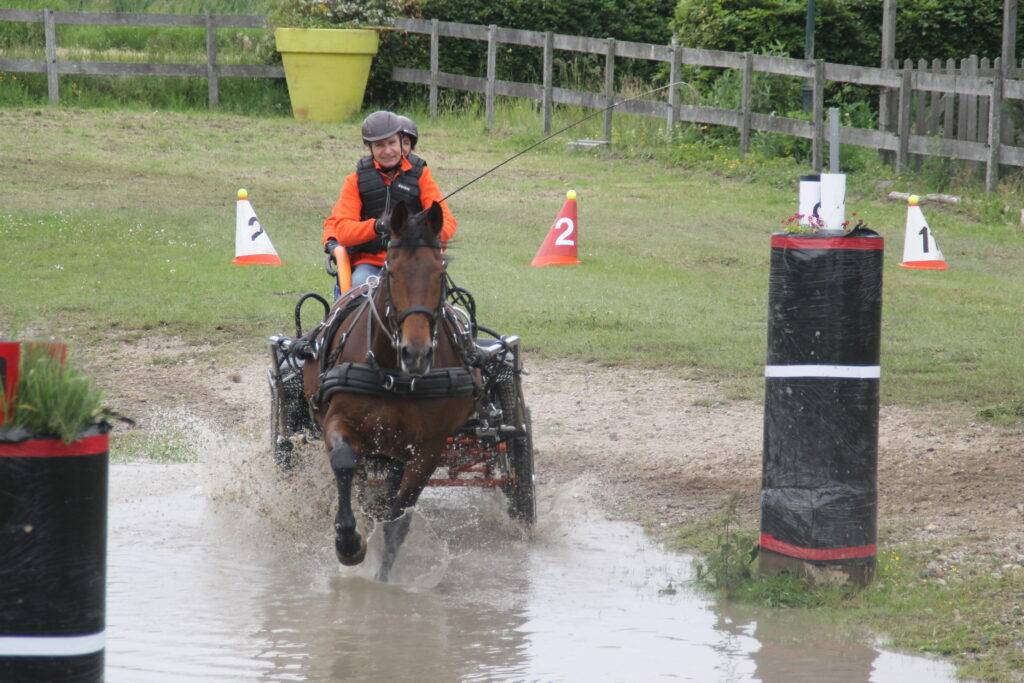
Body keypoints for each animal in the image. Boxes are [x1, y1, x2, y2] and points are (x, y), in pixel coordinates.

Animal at [303, 200, 478, 582]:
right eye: (392, 272)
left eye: (440, 273)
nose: (416, 353)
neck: (396, 376)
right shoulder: (338, 422)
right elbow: (344, 465)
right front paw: (349, 545)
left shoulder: (429, 447)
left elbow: (398, 517)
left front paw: (383, 580)